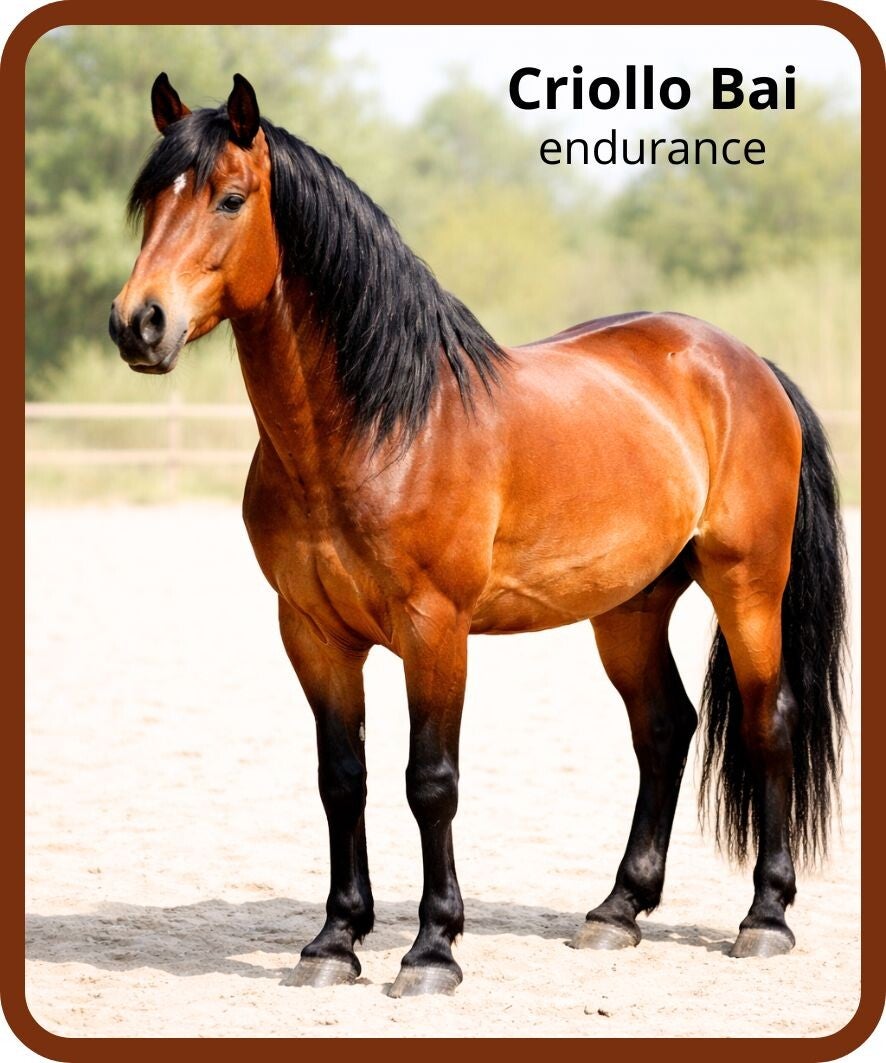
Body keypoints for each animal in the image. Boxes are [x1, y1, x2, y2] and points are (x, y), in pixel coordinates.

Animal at [109, 73, 847, 997]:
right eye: (149, 201)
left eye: (230, 199)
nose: (138, 323)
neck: (384, 427)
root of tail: (747, 365)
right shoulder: (312, 632)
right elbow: (340, 778)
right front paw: (334, 941)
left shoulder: (436, 629)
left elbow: (431, 781)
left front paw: (432, 949)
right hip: (630, 607)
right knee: (664, 728)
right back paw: (616, 911)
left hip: (747, 585)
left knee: (766, 720)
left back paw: (765, 917)